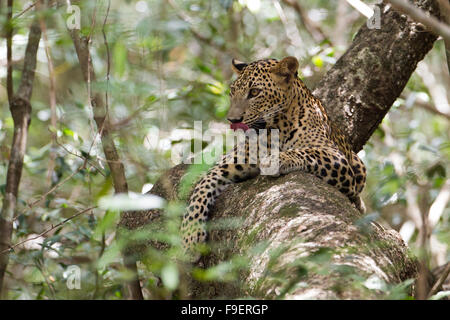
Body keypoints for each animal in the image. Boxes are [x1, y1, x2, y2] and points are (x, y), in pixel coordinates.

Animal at [181, 55, 368, 255]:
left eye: (254, 92)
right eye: (232, 93)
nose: (232, 120)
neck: (277, 127)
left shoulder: (335, 157)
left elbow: (305, 151)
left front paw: (276, 159)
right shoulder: (240, 161)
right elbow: (206, 181)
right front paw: (190, 236)